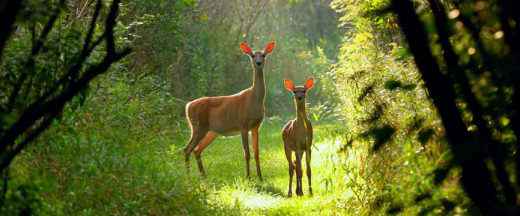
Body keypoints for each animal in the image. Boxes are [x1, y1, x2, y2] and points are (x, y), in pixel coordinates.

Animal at [182, 41, 274, 180]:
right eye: (252, 55)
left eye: (263, 55)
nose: (258, 63)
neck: (254, 100)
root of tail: (188, 106)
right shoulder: (243, 124)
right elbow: (247, 153)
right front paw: (248, 177)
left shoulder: (256, 126)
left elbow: (256, 153)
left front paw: (260, 177)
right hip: (198, 126)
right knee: (187, 149)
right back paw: (188, 178)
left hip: (211, 131)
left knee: (197, 149)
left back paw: (203, 176)